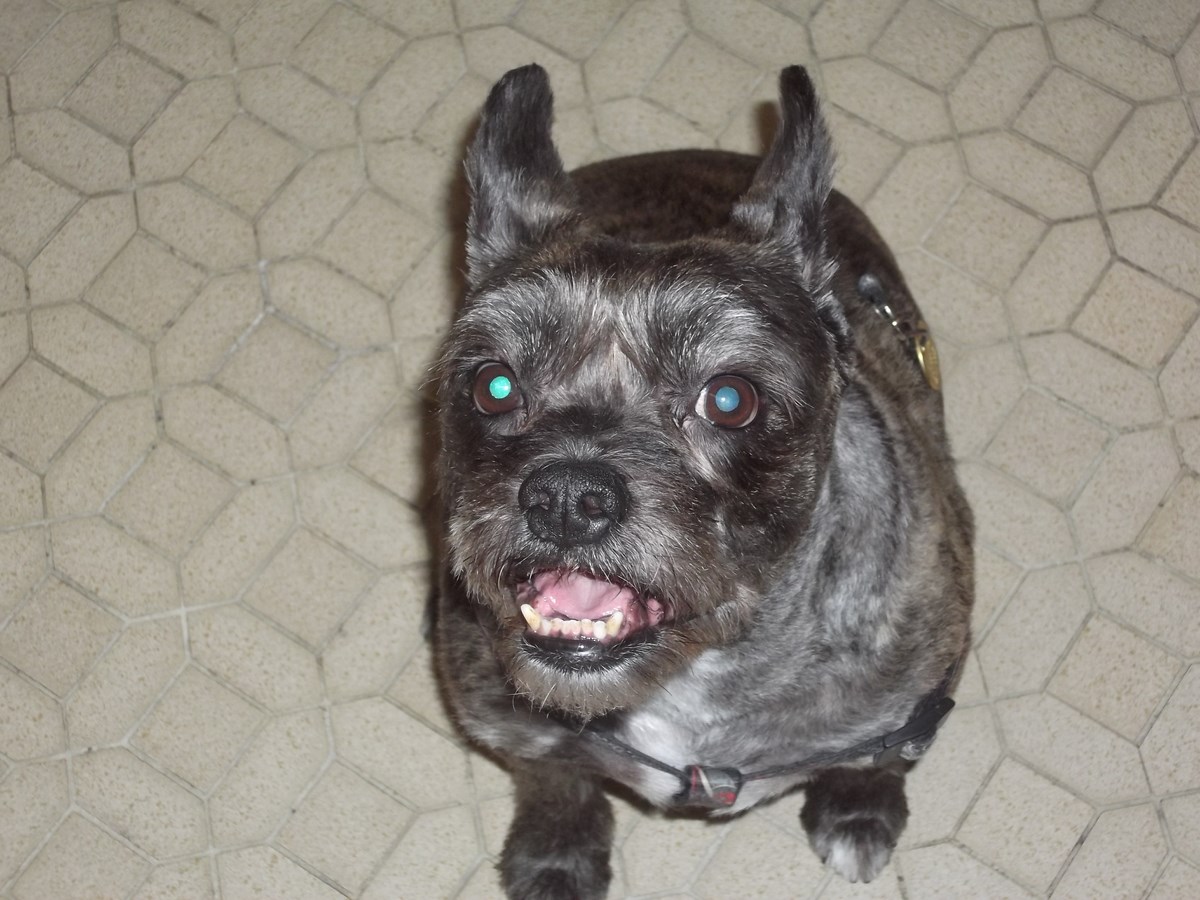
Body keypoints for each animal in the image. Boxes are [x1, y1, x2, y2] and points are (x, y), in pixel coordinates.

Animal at [434, 64, 974, 898]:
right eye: (494, 385)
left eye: (729, 400)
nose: (565, 498)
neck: (701, 667)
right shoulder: (508, 718)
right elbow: (556, 777)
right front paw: (558, 850)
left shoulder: (915, 700)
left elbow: (874, 759)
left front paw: (858, 809)